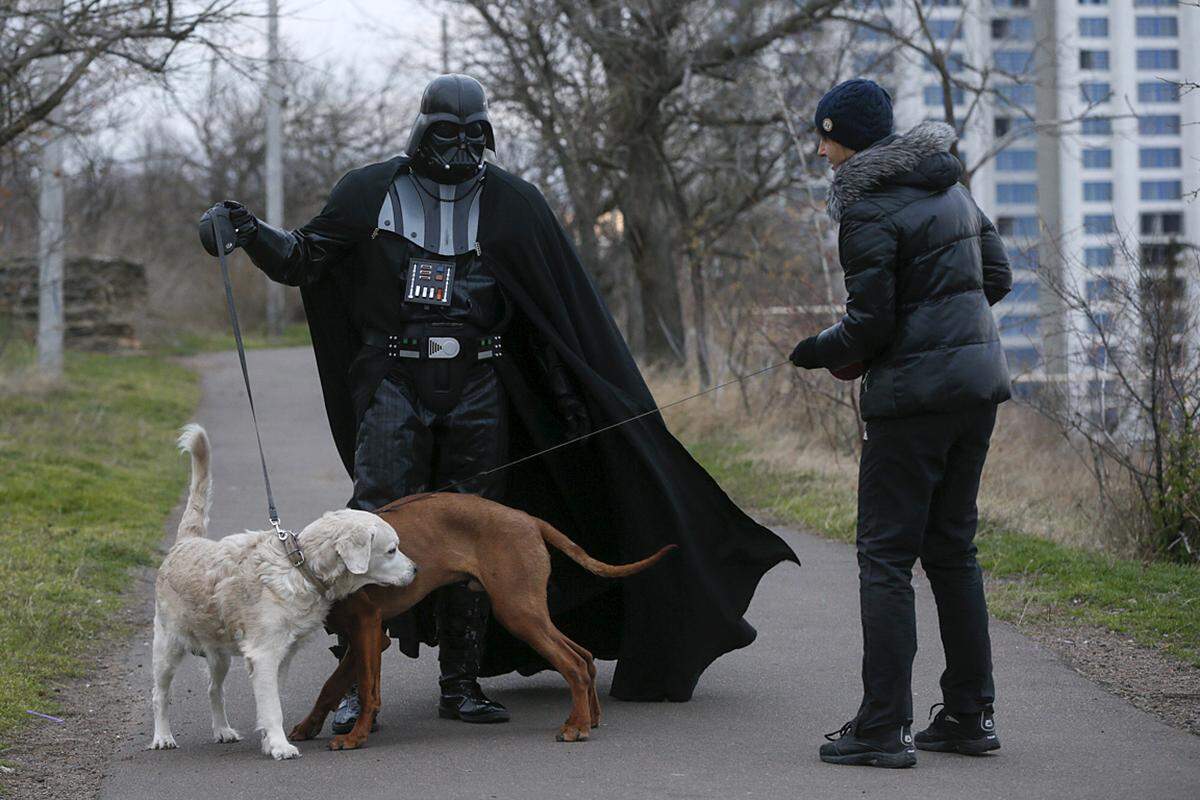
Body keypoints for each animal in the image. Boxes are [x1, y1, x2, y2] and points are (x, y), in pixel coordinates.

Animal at [148, 422, 417, 762]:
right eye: (392, 550)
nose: (416, 570)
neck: (299, 567)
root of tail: (186, 542)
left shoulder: (282, 657)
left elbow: (271, 702)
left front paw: (269, 741)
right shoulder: (264, 655)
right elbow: (272, 707)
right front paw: (280, 746)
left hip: (219, 656)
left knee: (214, 690)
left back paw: (222, 730)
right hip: (167, 649)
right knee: (160, 695)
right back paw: (162, 737)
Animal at [284, 494, 672, 753]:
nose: (415, 572)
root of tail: (529, 519)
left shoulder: (367, 628)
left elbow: (366, 689)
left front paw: (355, 736)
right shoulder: (370, 637)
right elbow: (331, 685)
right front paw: (309, 726)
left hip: (518, 611)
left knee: (573, 663)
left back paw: (575, 727)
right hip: (529, 610)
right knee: (585, 656)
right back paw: (588, 717)